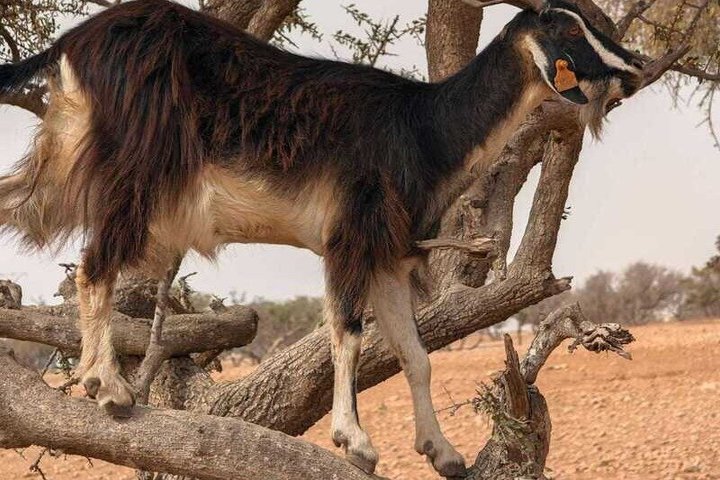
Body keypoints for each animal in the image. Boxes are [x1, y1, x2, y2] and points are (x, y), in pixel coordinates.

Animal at [0, 0, 645, 475]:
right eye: (568, 27)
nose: (635, 66)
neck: (422, 126)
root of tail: (72, 45)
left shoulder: (388, 255)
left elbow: (415, 354)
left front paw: (443, 452)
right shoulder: (349, 237)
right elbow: (348, 335)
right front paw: (355, 441)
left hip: (56, 167)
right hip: (133, 173)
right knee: (95, 266)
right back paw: (107, 386)